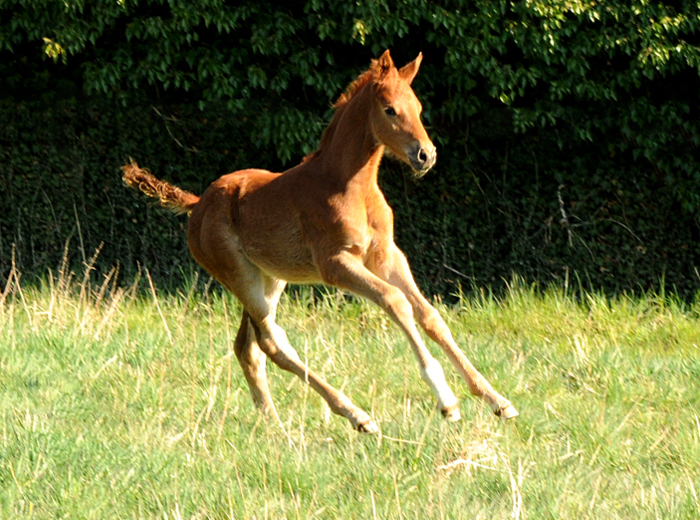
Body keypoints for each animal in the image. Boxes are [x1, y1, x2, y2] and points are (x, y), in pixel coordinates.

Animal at [123, 50, 516, 432]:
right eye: (390, 109)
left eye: (418, 107)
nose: (425, 155)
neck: (349, 186)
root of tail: (198, 204)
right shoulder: (336, 264)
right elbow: (396, 301)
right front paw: (447, 401)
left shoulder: (387, 255)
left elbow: (430, 315)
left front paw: (498, 401)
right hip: (240, 276)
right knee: (272, 343)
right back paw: (357, 416)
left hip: (270, 277)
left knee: (248, 348)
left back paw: (274, 423)